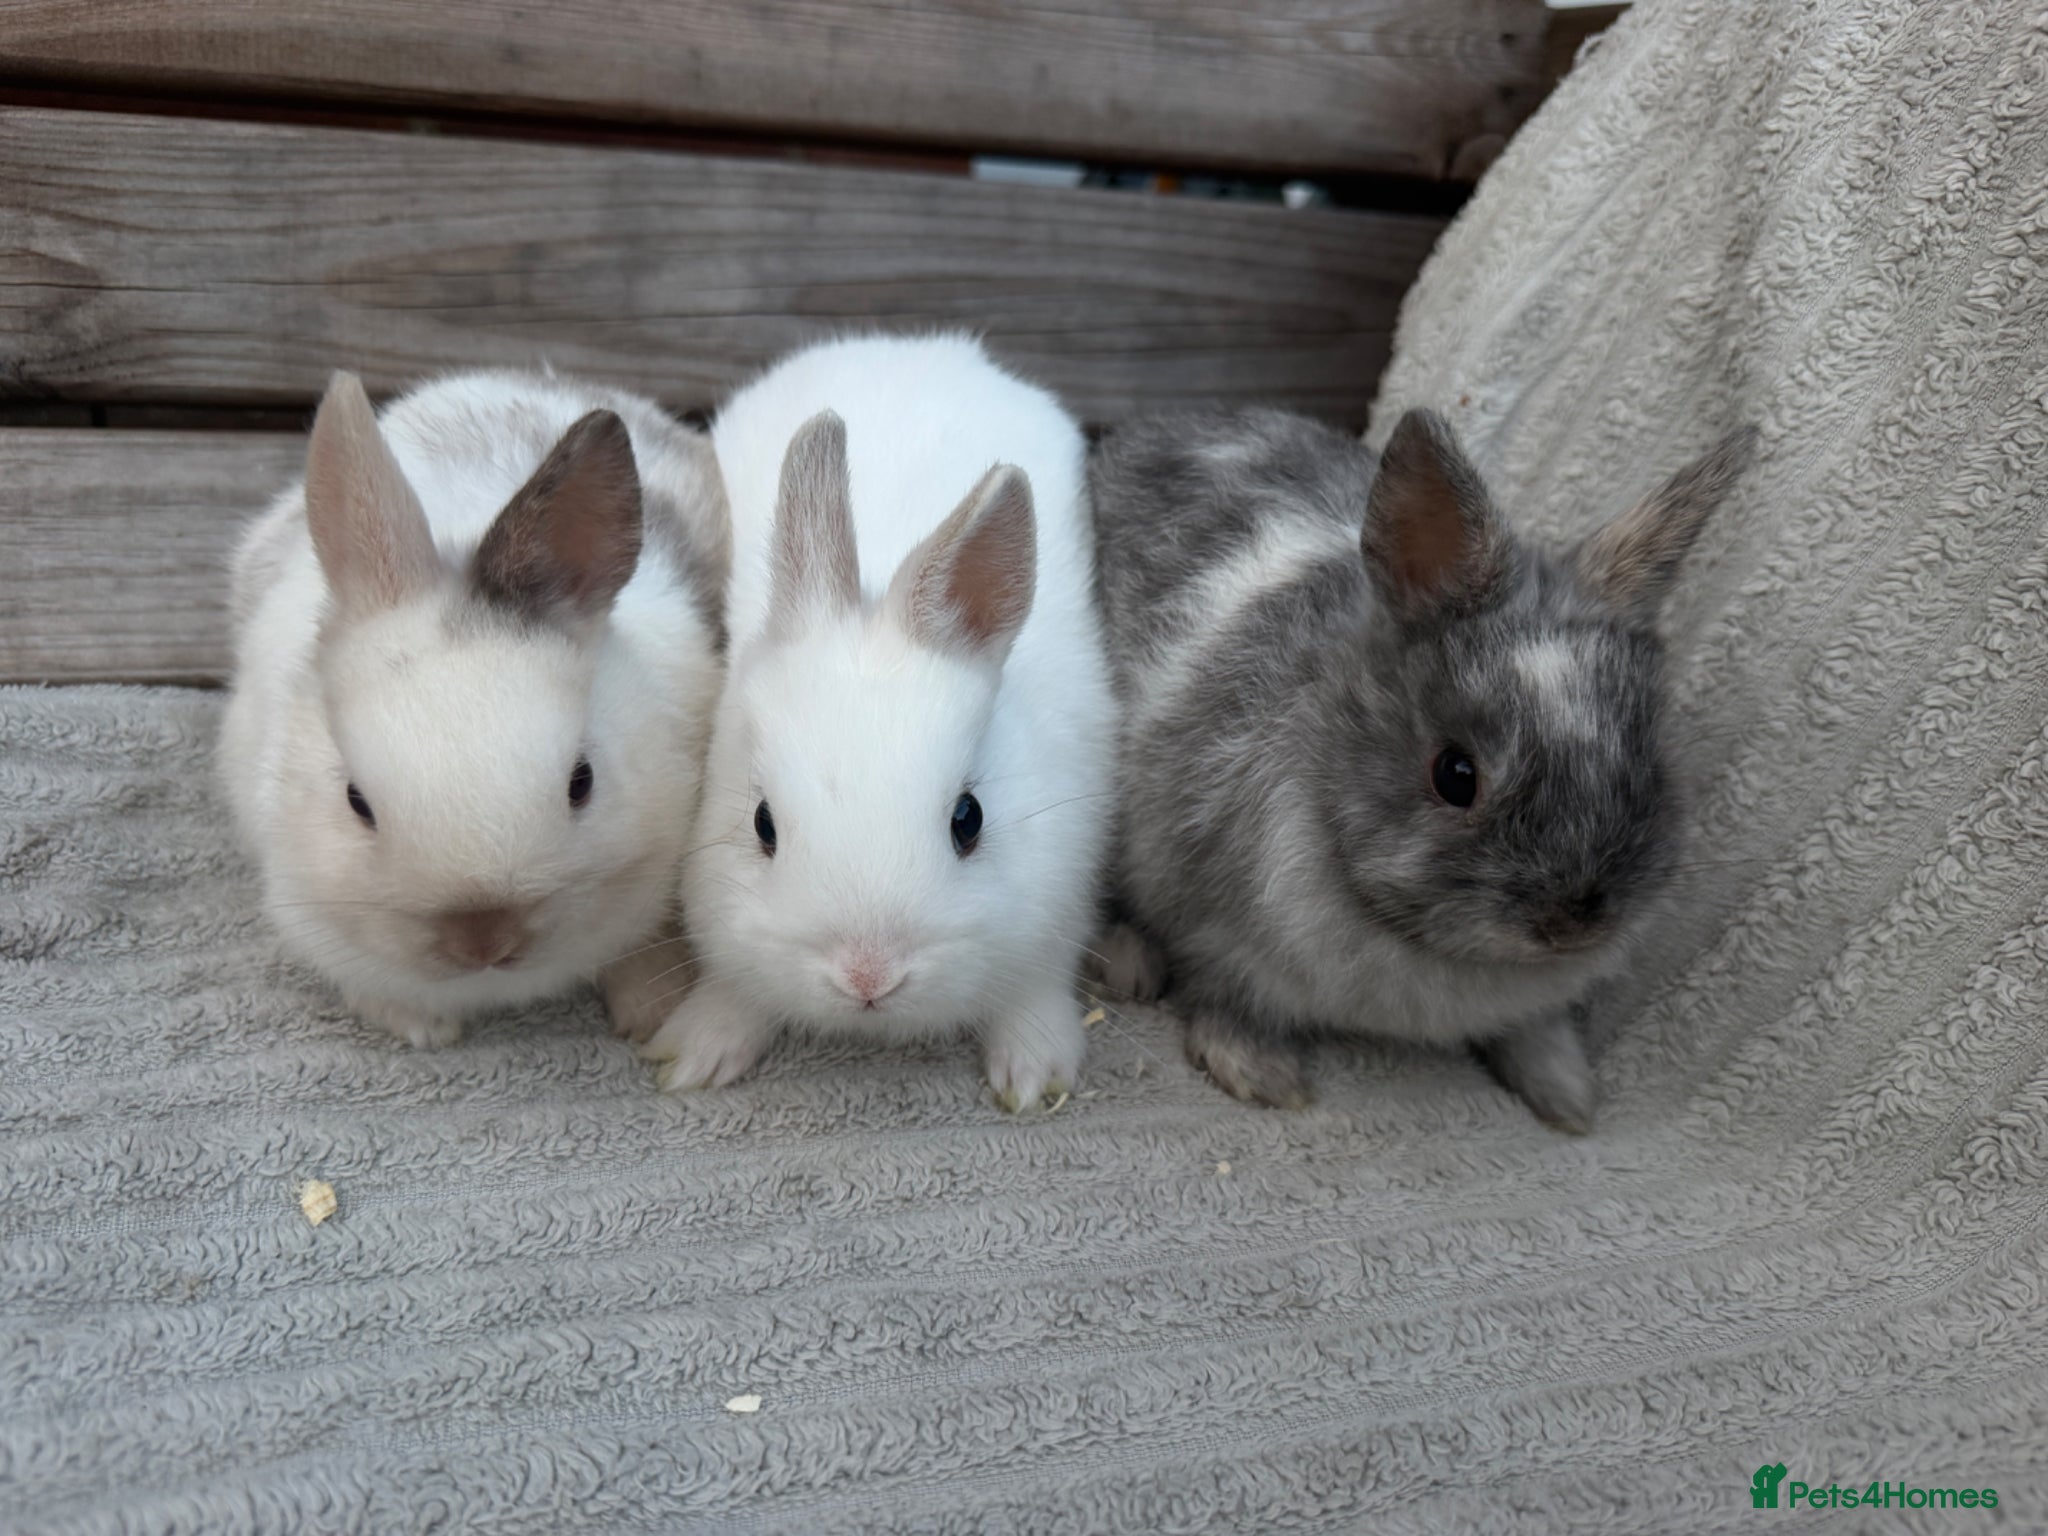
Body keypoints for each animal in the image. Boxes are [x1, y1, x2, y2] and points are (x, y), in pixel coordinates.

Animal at [640, 333, 1116, 1109]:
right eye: (762, 825)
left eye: (968, 820)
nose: (868, 975)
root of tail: (912, 343)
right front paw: (699, 1052)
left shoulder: (1058, 902)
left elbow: (1035, 991)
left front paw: (1033, 1076)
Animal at [1089, 406, 1754, 1132]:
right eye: (1455, 776)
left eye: (1649, 760)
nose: (1574, 921)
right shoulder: (1208, 918)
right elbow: (1226, 996)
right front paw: (1262, 1076)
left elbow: (1534, 1029)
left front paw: (1568, 1098)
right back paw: (1127, 967)